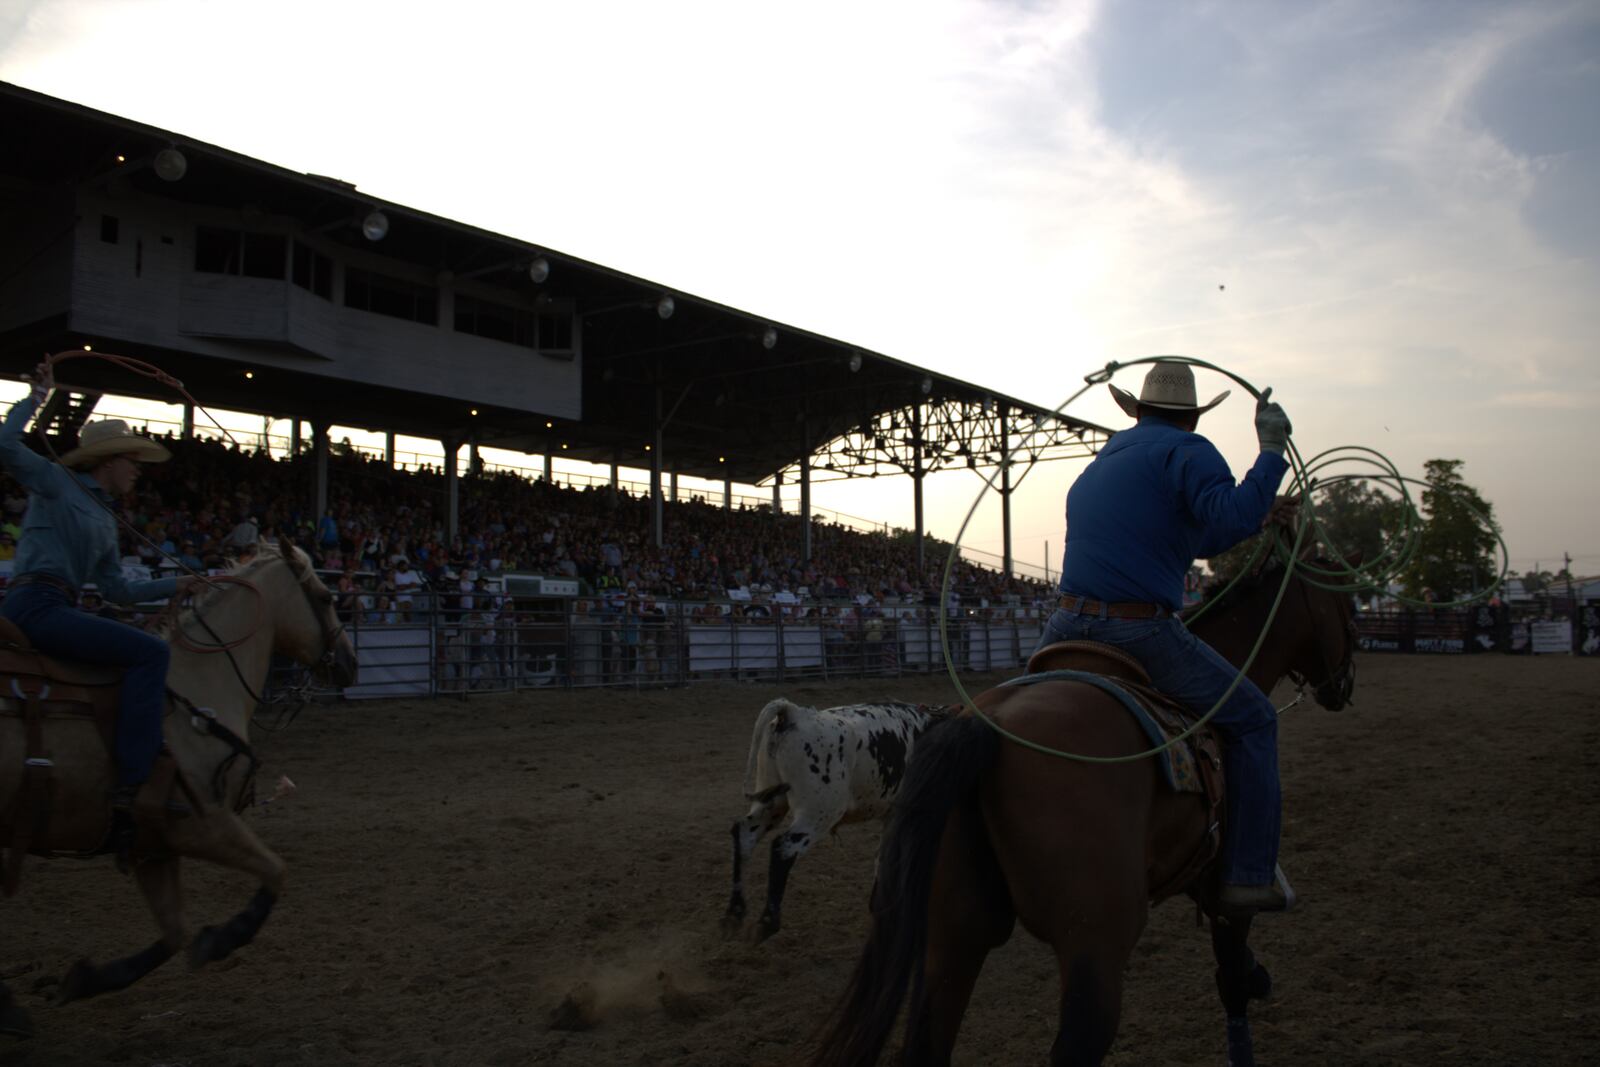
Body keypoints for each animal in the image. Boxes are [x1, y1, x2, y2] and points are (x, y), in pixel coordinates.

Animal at [0, 543, 356, 1036]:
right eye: (324, 597)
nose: (349, 663)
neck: (196, 688)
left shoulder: (152, 846)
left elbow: (173, 933)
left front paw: (84, 980)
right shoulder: (201, 824)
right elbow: (276, 872)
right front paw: (221, 940)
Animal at [720, 700, 940, 940]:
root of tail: (793, 713)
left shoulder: (891, 816)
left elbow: (882, 857)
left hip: (771, 802)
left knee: (744, 834)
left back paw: (735, 912)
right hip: (819, 813)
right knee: (783, 847)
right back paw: (767, 922)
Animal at [812, 559, 1350, 1067]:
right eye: (1346, 604)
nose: (1343, 685)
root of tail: (985, 728)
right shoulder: (1224, 889)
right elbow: (1232, 976)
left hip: (953, 934)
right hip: (1095, 941)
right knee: (1078, 1042)